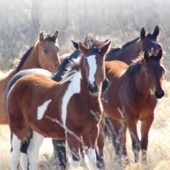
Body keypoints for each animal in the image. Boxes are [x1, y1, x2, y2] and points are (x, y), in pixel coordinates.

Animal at [6, 39, 111, 169]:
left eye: (101, 63)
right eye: (86, 63)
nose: (93, 87)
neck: (81, 99)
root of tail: (17, 82)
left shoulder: (92, 133)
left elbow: (92, 161)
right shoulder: (71, 134)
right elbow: (75, 162)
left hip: (37, 130)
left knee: (32, 153)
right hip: (17, 127)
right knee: (15, 155)